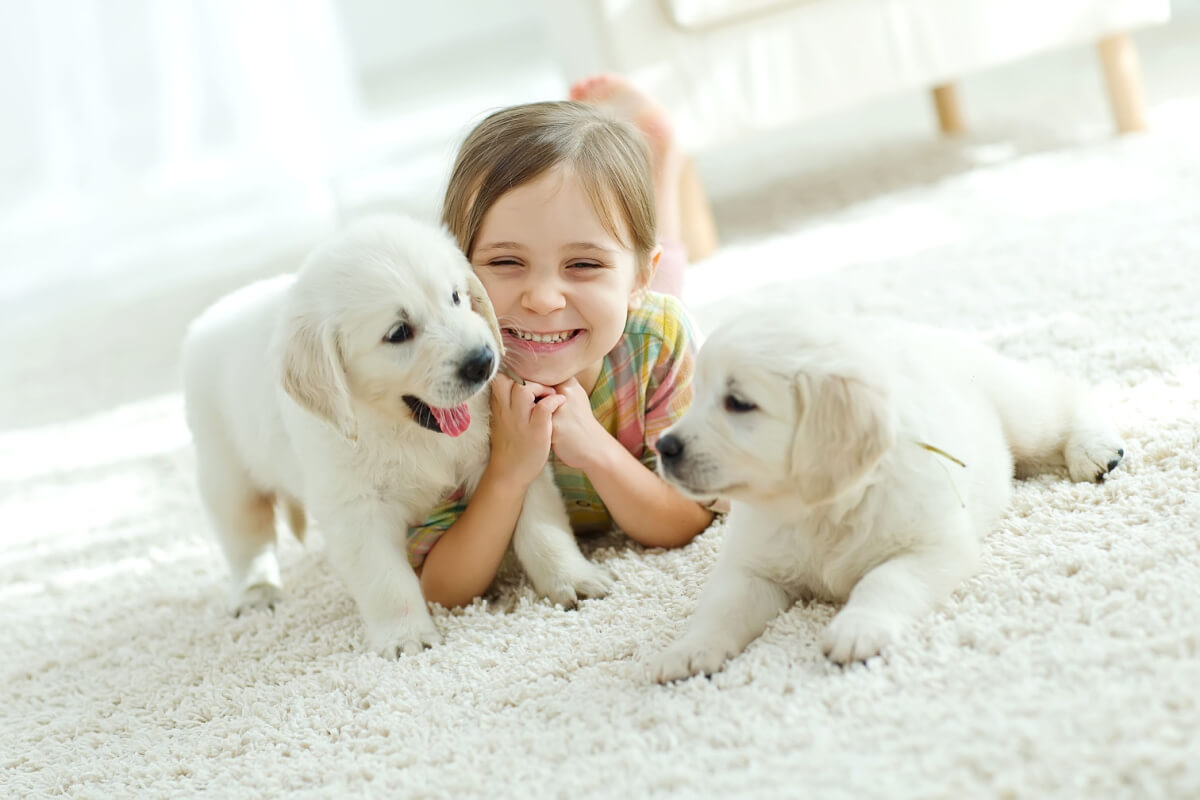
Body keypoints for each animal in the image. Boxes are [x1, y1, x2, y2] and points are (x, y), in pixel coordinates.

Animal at [182, 212, 614, 657]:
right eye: (398, 332)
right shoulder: (356, 506)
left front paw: (573, 578)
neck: (404, 429)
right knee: (246, 537)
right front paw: (406, 636)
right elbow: (386, 580)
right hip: (226, 470)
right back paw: (257, 592)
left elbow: (541, 527)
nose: (482, 362)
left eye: (455, 297)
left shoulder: (511, 454)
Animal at [648, 309, 1123, 681]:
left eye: (739, 402)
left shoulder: (934, 547)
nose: (664, 447)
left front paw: (858, 628)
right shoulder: (753, 567)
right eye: (696, 395)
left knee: (1064, 394)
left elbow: (885, 580)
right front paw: (689, 649)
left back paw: (1094, 449)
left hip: (1021, 412)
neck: (819, 508)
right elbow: (722, 606)